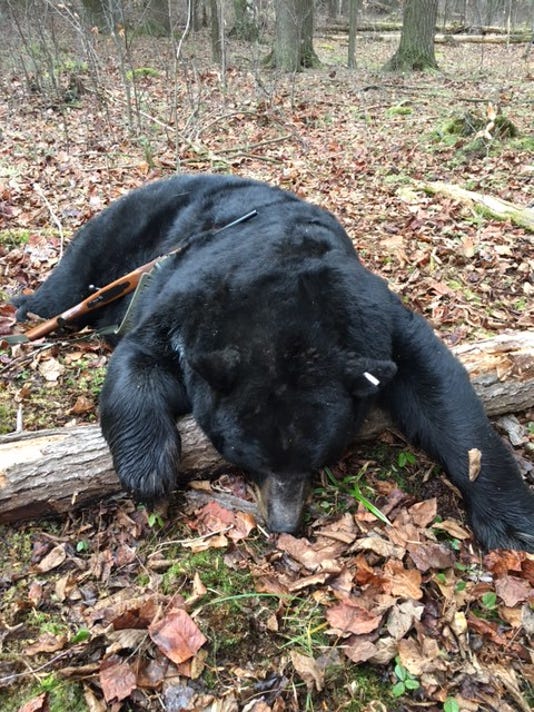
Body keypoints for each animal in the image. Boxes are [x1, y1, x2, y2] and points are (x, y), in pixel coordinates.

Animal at [13, 174, 534, 551]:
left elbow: (441, 393)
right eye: (245, 458)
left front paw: (512, 522)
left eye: (319, 458)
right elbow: (138, 356)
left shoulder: (375, 317)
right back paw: (28, 309)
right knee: (73, 275)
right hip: (122, 232)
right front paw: (148, 467)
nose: (284, 525)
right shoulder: (186, 303)